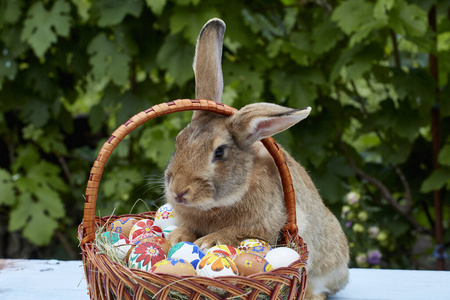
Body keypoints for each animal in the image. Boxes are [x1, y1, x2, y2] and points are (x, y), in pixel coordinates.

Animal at [163, 18, 350, 298]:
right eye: (178, 142)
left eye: (220, 152)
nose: (179, 192)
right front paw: (177, 237)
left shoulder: (266, 227)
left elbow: (235, 233)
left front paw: (208, 241)